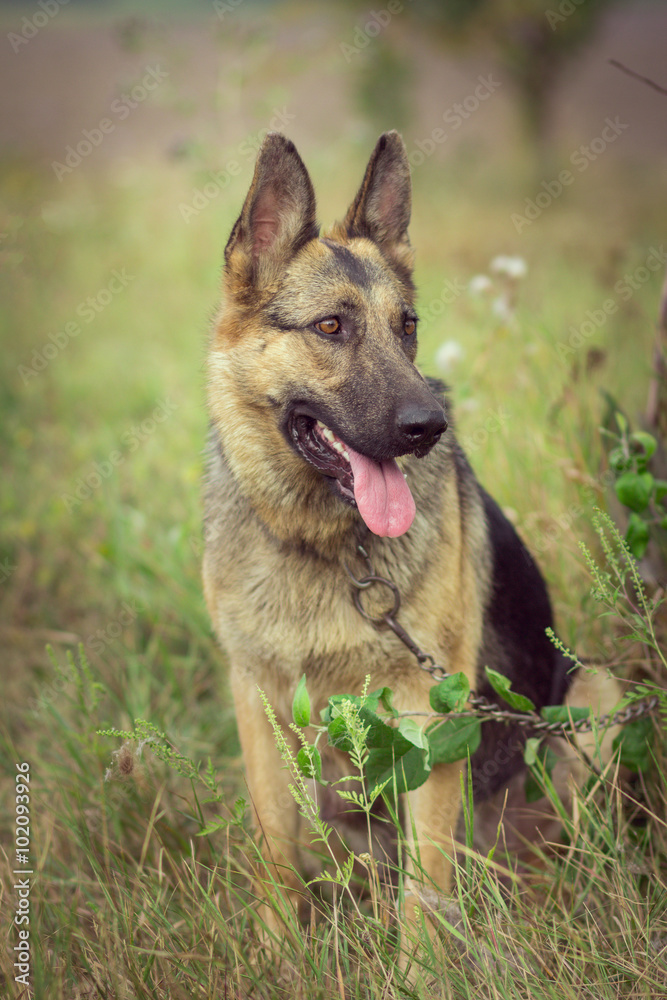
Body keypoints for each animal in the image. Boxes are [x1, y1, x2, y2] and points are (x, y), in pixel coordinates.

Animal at [204, 131, 620, 936]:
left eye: (408, 328)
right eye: (330, 327)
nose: (430, 428)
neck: (325, 545)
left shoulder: (433, 710)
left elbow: (424, 891)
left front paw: (419, 962)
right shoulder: (256, 698)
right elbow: (275, 849)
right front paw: (278, 949)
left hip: (597, 695)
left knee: (558, 851)